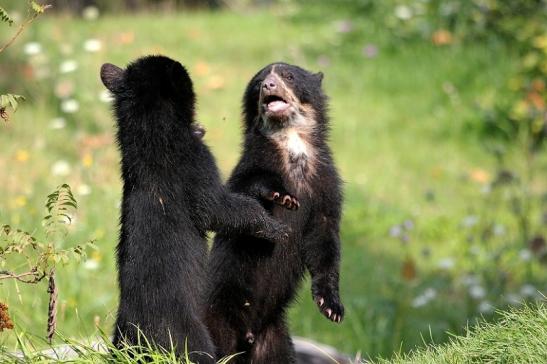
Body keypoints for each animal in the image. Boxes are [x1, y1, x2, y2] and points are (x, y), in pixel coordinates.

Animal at [101, 55, 294, 362]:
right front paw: (276, 228)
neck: (151, 137)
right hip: (189, 335)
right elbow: (218, 207)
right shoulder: (194, 162)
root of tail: (138, 335)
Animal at [208, 61, 344, 362]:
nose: (269, 86)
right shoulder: (256, 160)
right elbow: (242, 195)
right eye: (259, 82)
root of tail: (248, 333)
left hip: (274, 337)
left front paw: (332, 307)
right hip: (218, 317)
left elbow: (325, 240)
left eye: (288, 76)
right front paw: (284, 196)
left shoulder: (325, 184)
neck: (292, 145)